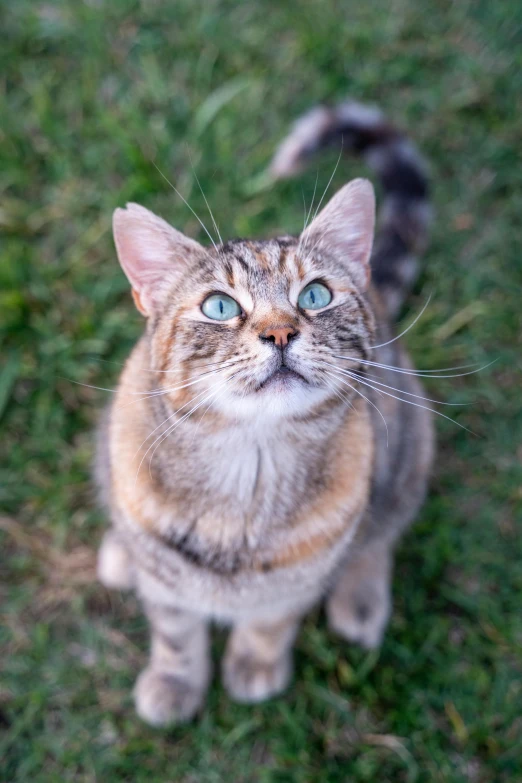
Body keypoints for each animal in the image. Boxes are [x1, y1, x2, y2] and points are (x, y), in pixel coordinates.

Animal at [93, 101, 430, 724]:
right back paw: (121, 555)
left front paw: (254, 666)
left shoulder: (296, 582)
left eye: (315, 295)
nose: (279, 332)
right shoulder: (165, 579)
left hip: (409, 449)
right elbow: (175, 630)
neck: (249, 467)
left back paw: (361, 599)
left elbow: (269, 624)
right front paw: (175, 681)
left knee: (381, 534)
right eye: (220, 307)